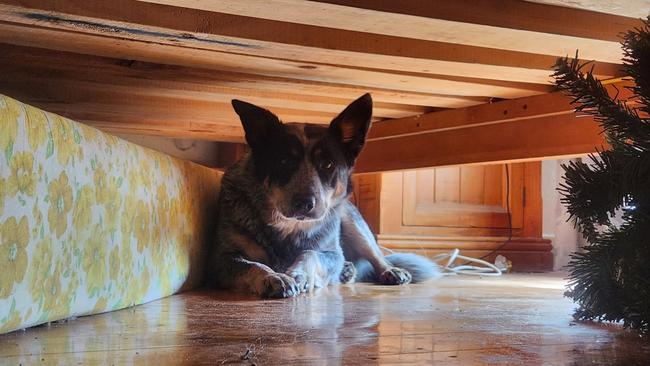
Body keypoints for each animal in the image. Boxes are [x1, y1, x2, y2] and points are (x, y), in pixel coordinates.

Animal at [208, 94, 438, 298]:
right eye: (284, 161)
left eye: (328, 164)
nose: (304, 203)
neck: (289, 228)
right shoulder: (223, 260)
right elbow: (254, 265)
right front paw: (273, 277)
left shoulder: (331, 253)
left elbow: (311, 254)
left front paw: (299, 274)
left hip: (351, 220)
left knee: (376, 254)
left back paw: (388, 270)